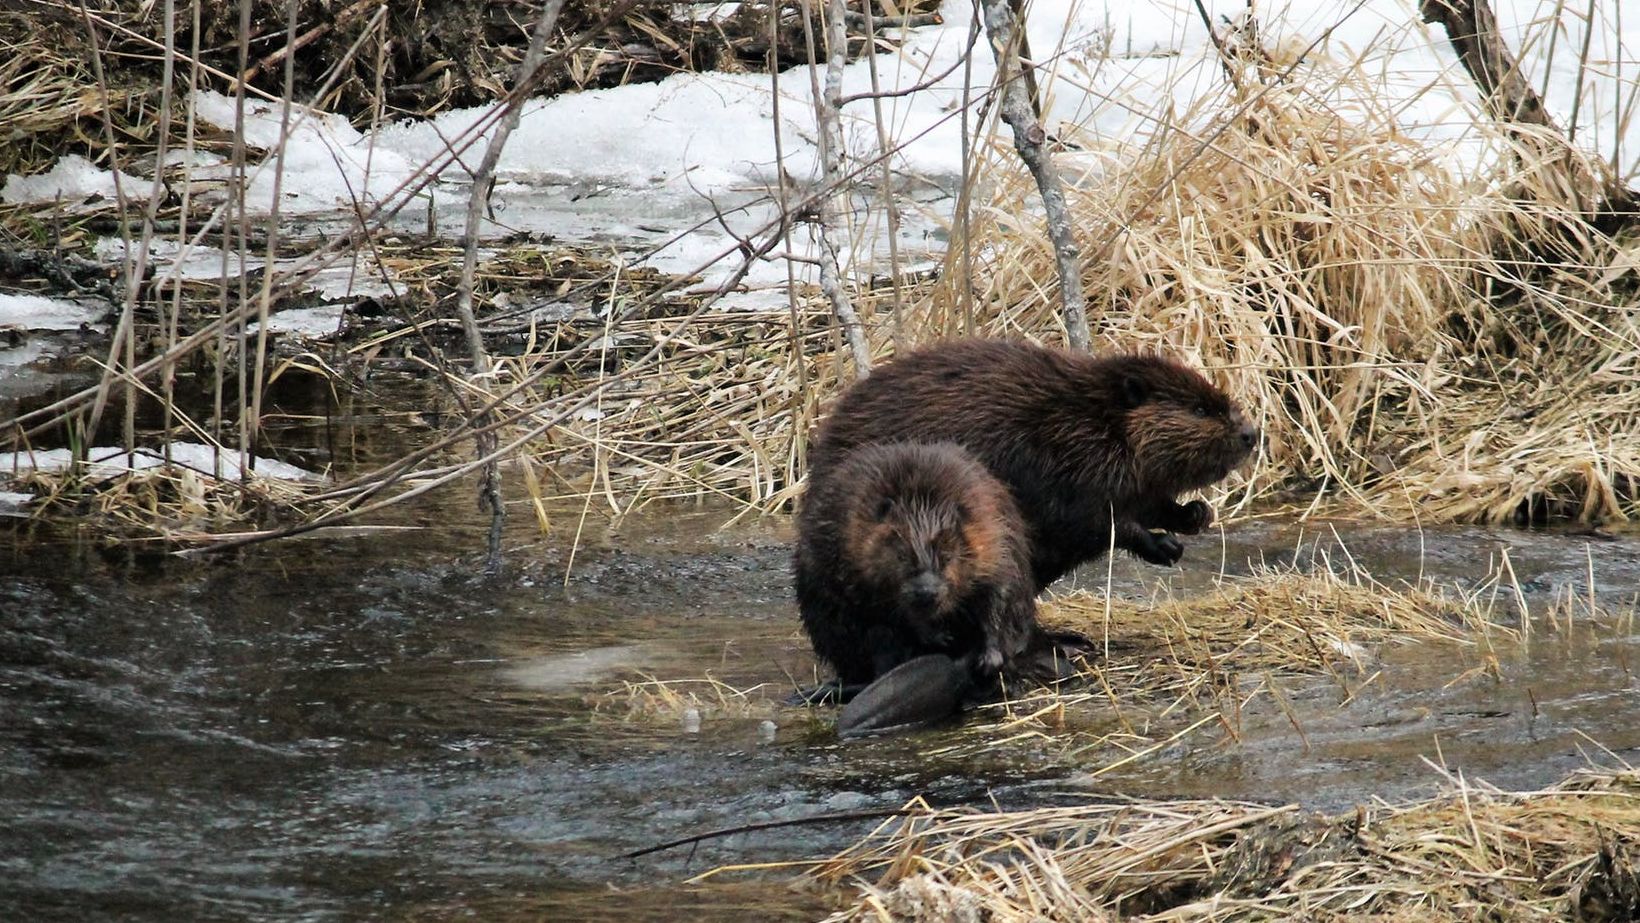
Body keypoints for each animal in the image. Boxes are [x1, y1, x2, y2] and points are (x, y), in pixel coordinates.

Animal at [790, 442, 1036, 701]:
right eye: (902, 556)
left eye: (947, 557)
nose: (926, 592)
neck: (923, 504)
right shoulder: (848, 545)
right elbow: (877, 605)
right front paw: (938, 635)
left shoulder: (993, 536)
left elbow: (999, 593)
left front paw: (990, 657)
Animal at [806, 339, 1252, 593]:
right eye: (1200, 409)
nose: (1251, 433)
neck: (1088, 417)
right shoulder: (1063, 458)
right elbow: (1093, 519)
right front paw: (1165, 546)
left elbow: (1147, 502)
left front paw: (1196, 513)